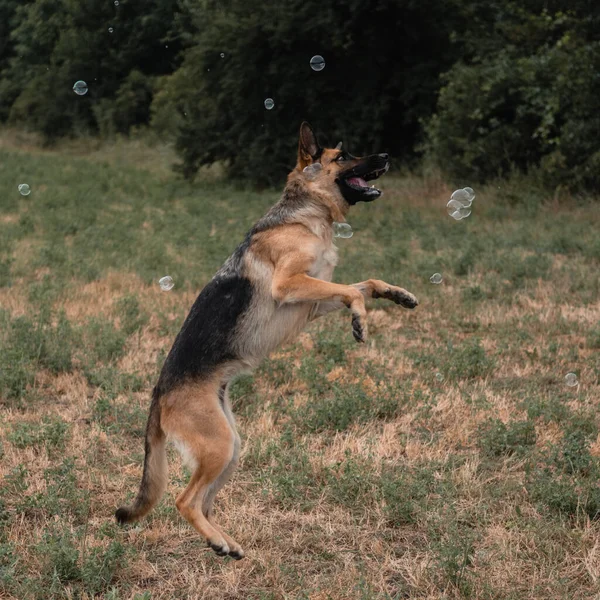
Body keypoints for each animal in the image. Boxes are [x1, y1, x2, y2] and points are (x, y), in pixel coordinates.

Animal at [116, 124, 418, 560]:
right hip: (219, 446)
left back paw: (223, 541)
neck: (305, 216)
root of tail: (159, 395)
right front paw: (360, 322)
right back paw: (216, 539)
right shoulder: (291, 285)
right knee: (184, 500)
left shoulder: (312, 301)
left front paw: (398, 295)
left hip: (230, 448)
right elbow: (352, 291)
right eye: (343, 156)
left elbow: (365, 283)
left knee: (203, 502)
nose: (386, 155)